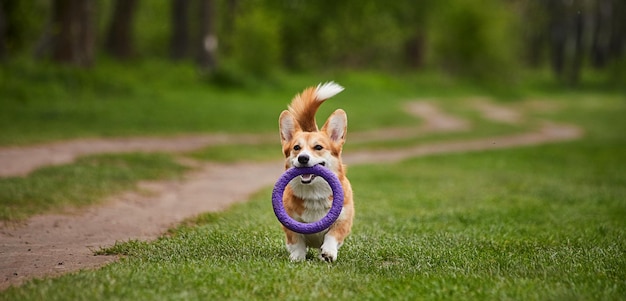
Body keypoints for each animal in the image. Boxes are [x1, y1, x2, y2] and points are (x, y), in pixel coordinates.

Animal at [276, 81, 354, 262]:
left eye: (318, 147)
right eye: (296, 148)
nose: (303, 158)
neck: (314, 193)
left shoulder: (343, 220)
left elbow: (332, 235)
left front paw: (328, 253)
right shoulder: (290, 223)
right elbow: (296, 240)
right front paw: (297, 257)